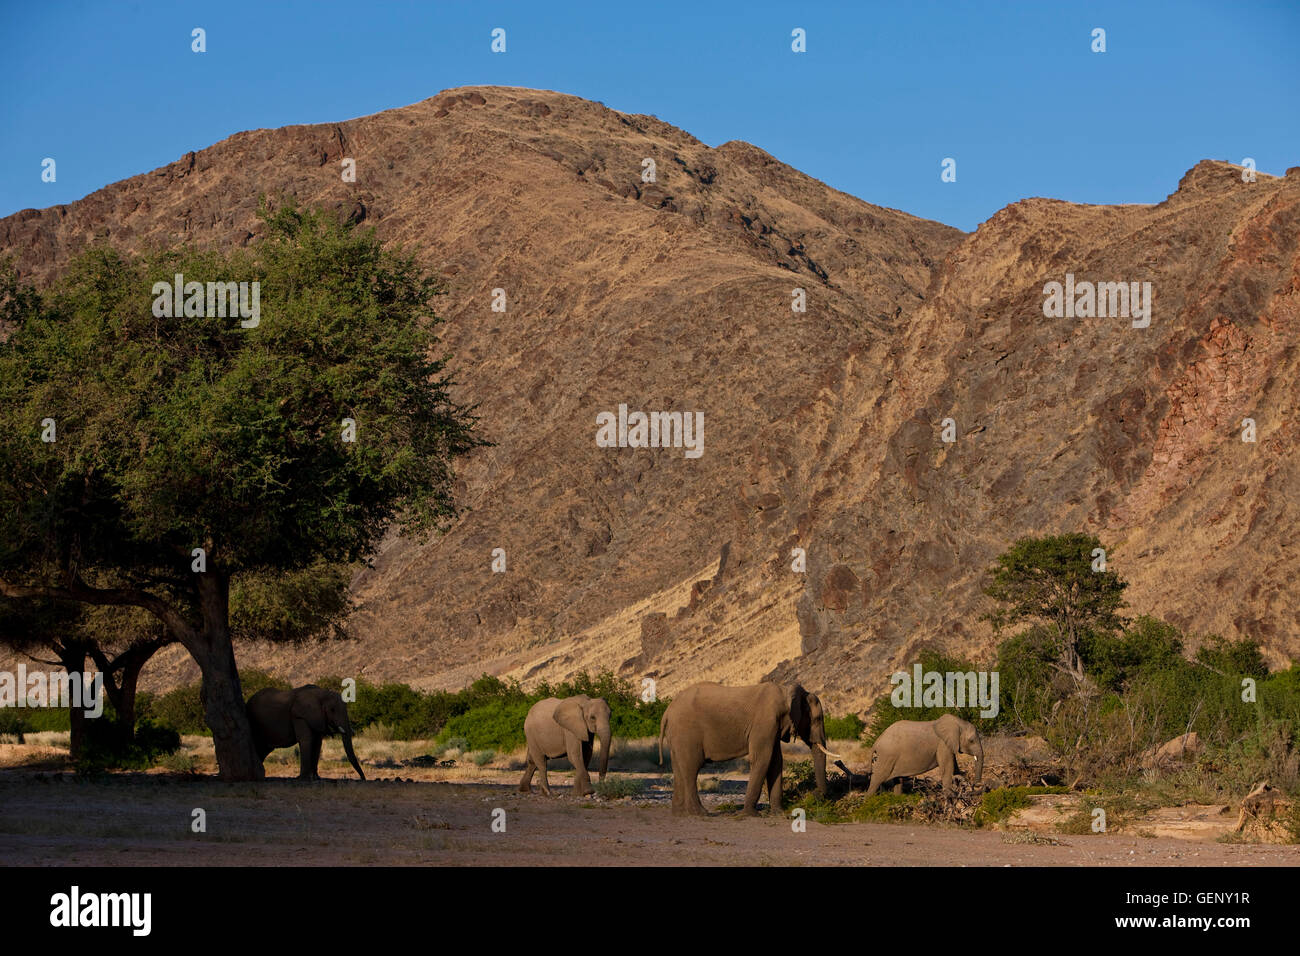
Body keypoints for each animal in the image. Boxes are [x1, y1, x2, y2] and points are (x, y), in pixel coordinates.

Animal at [660, 681, 842, 816]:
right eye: (817, 719)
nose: (815, 796)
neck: (786, 691)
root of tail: (667, 712)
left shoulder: (773, 727)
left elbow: (776, 762)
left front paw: (778, 813)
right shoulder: (765, 722)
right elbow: (762, 759)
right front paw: (750, 815)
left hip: (677, 736)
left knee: (678, 768)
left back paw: (679, 814)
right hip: (687, 732)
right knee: (691, 768)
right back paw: (700, 813)